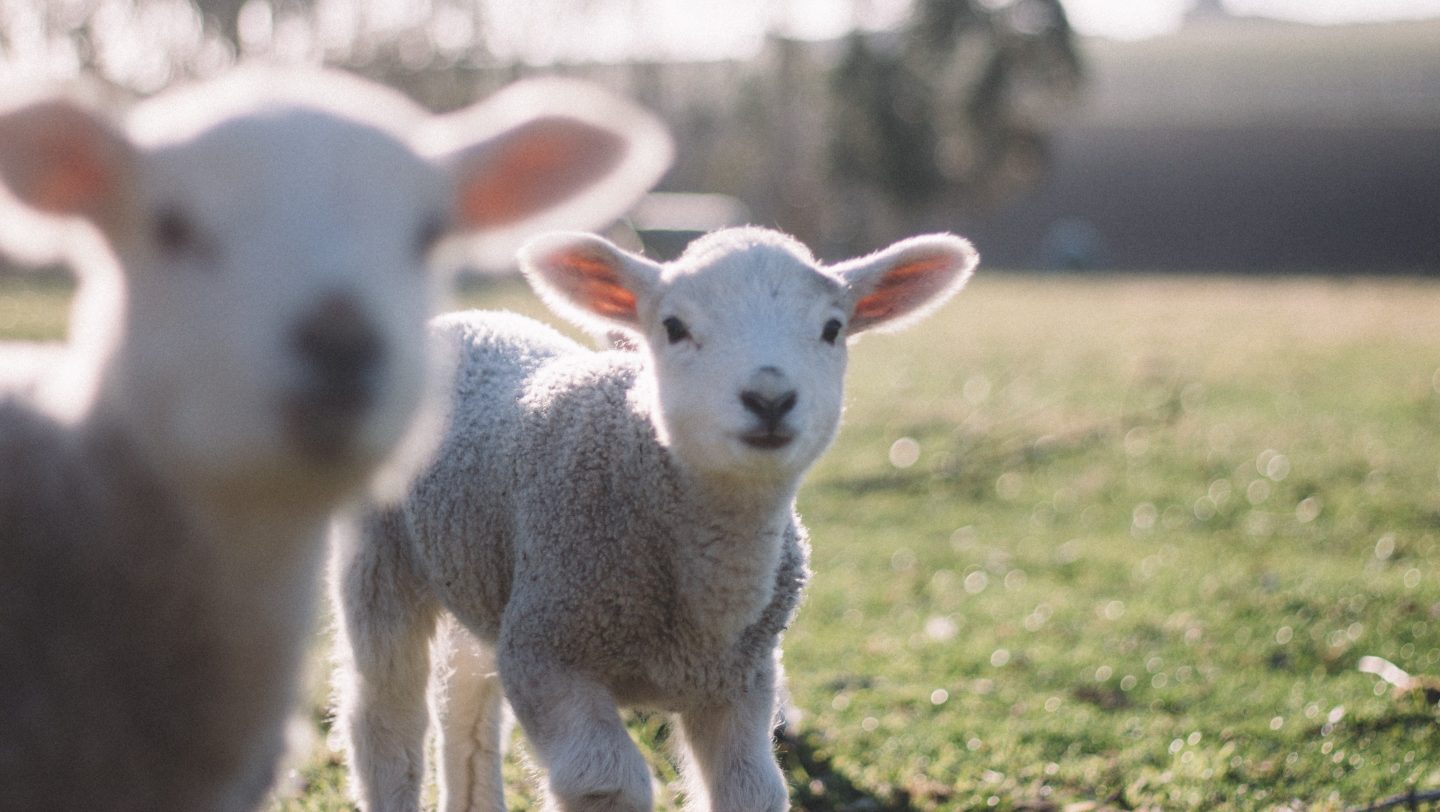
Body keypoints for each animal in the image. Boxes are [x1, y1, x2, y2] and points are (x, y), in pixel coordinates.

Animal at [331, 223, 973, 812]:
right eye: (674, 327)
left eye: (832, 329)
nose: (769, 398)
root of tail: (466, 319)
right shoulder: (547, 652)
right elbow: (605, 781)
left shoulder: (741, 681)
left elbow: (752, 790)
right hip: (379, 558)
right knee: (385, 715)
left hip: (483, 570)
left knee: (465, 700)